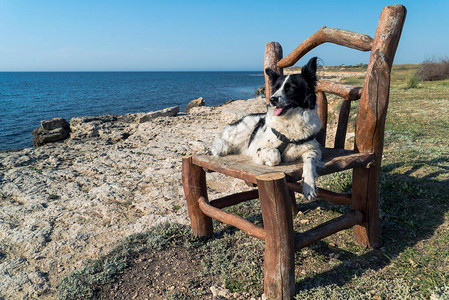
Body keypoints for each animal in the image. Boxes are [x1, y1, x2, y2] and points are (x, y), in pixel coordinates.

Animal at [211, 57, 320, 200]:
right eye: (276, 88)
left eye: (291, 88)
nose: (272, 99)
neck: (290, 122)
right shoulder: (259, 149)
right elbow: (275, 154)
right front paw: (269, 162)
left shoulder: (313, 149)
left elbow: (309, 164)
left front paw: (309, 187)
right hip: (241, 133)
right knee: (220, 142)